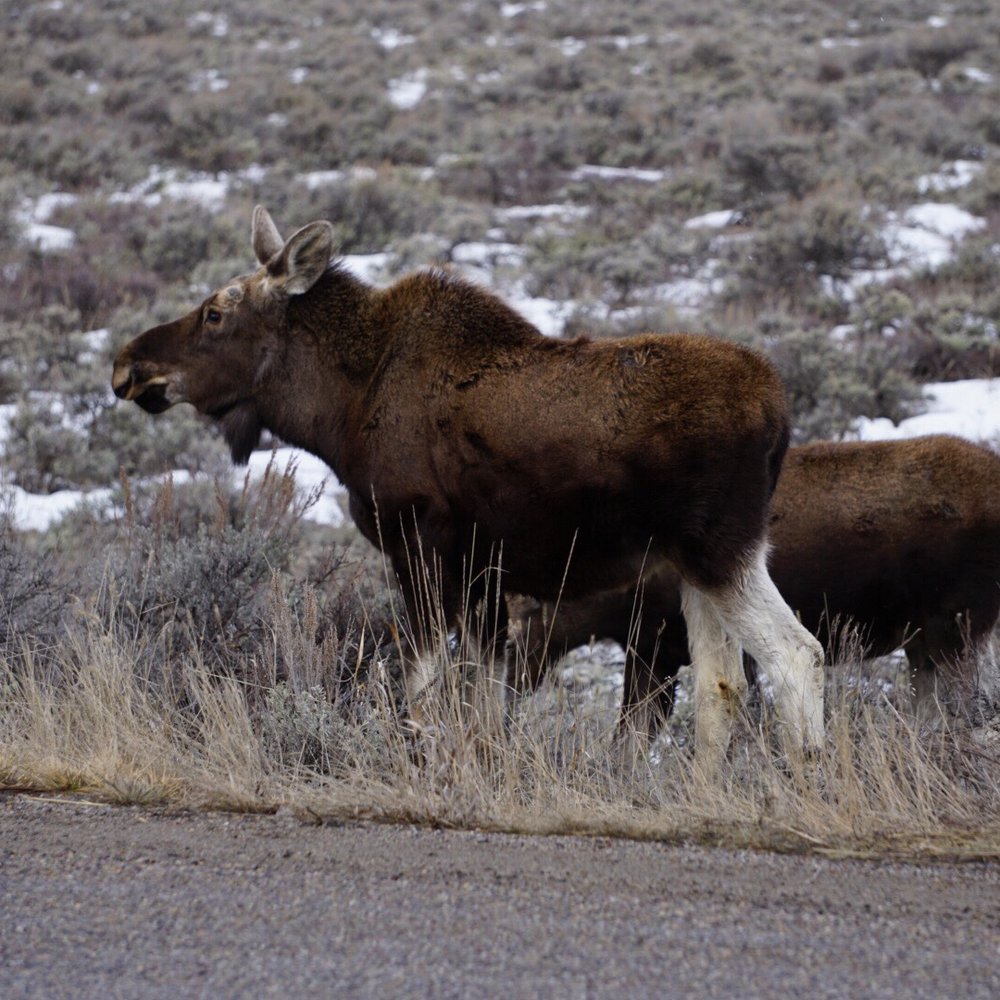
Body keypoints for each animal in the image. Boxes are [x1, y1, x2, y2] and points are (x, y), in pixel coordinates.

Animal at [112, 205, 824, 773]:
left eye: (215, 312)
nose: (127, 365)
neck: (338, 410)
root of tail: (780, 415)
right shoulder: (486, 572)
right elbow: (481, 702)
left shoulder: (420, 543)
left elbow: (424, 690)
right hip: (692, 565)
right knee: (722, 685)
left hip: (720, 549)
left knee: (797, 654)